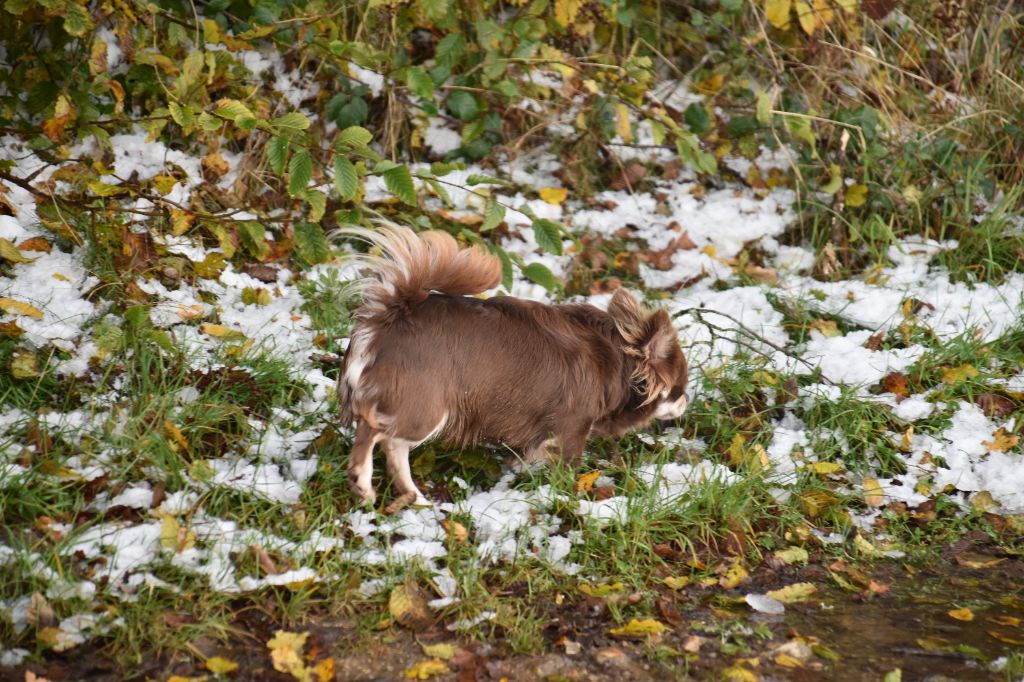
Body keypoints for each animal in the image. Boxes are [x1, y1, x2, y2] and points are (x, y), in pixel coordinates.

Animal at [337, 225, 688, 501]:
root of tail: (388, 316)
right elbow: (567, 466)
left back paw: (413, 497)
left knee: (390, 446)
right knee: (379, 435)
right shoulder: (572, 429)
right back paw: (362, 482)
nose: (686, 401)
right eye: (679, 387)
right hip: (424, 410)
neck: (616, 356)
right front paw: (563, 495)